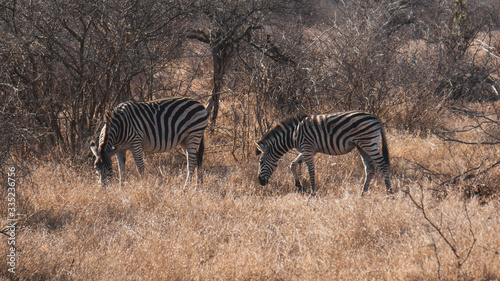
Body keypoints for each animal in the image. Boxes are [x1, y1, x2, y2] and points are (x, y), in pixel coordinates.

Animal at [256, 110, 392, 194]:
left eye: (261, 162)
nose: (260, 182)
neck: (293, 134)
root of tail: (376, 118)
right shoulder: (308, 150)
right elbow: (292, 164)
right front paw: (299, 185)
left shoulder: (307, 148)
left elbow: (311, 171)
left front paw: (312, 192)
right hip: (362, 146)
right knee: (370, 169)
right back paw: (363, 193)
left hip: (369, 144)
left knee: (383, 165)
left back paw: (389, 193)